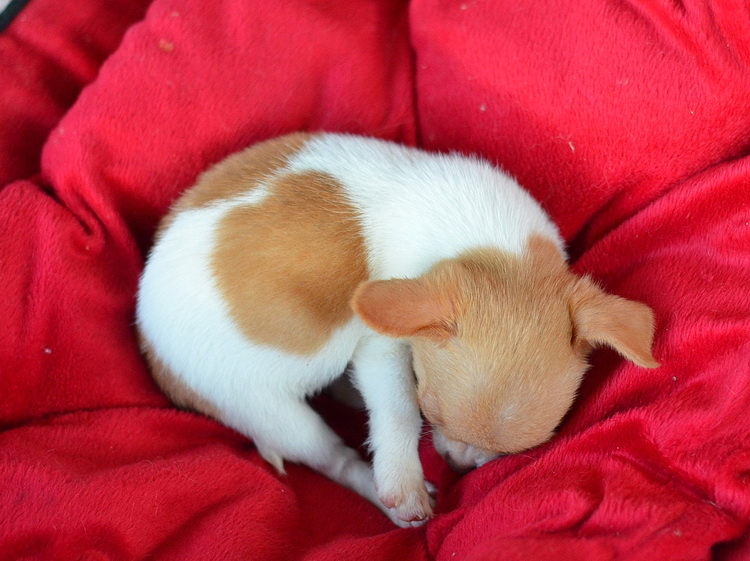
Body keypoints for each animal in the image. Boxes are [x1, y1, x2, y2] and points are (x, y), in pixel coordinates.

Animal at [136, 132, 658, 526]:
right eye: (432, 412)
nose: (457, 464)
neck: (492, 247)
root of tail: (146, 338)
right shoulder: (380, 347)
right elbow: (398, 408)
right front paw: (403, 483)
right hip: (264, 409)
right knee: (332, 457)